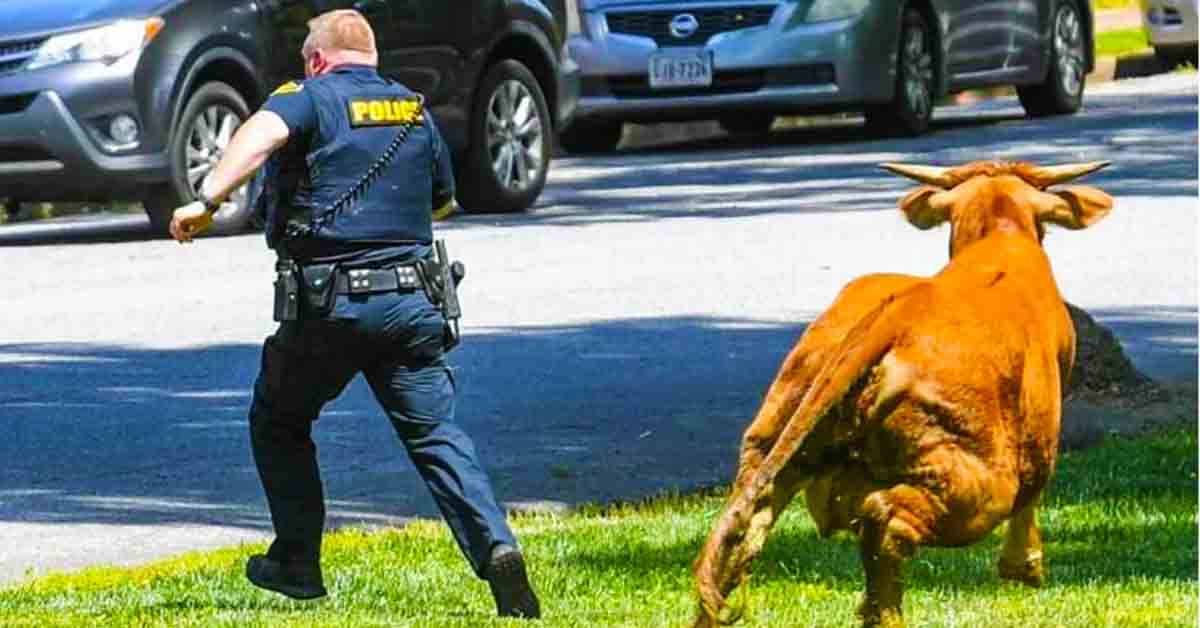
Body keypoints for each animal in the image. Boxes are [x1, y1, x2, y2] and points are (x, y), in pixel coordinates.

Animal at [696, 159, 1113, 624]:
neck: (999, 239)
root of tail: (890, 318)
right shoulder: (1041, 431)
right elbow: (1032, 496)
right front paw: (1025, 565)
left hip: (773, 438)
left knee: (741, 535)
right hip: (979, 483)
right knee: (886, 522)